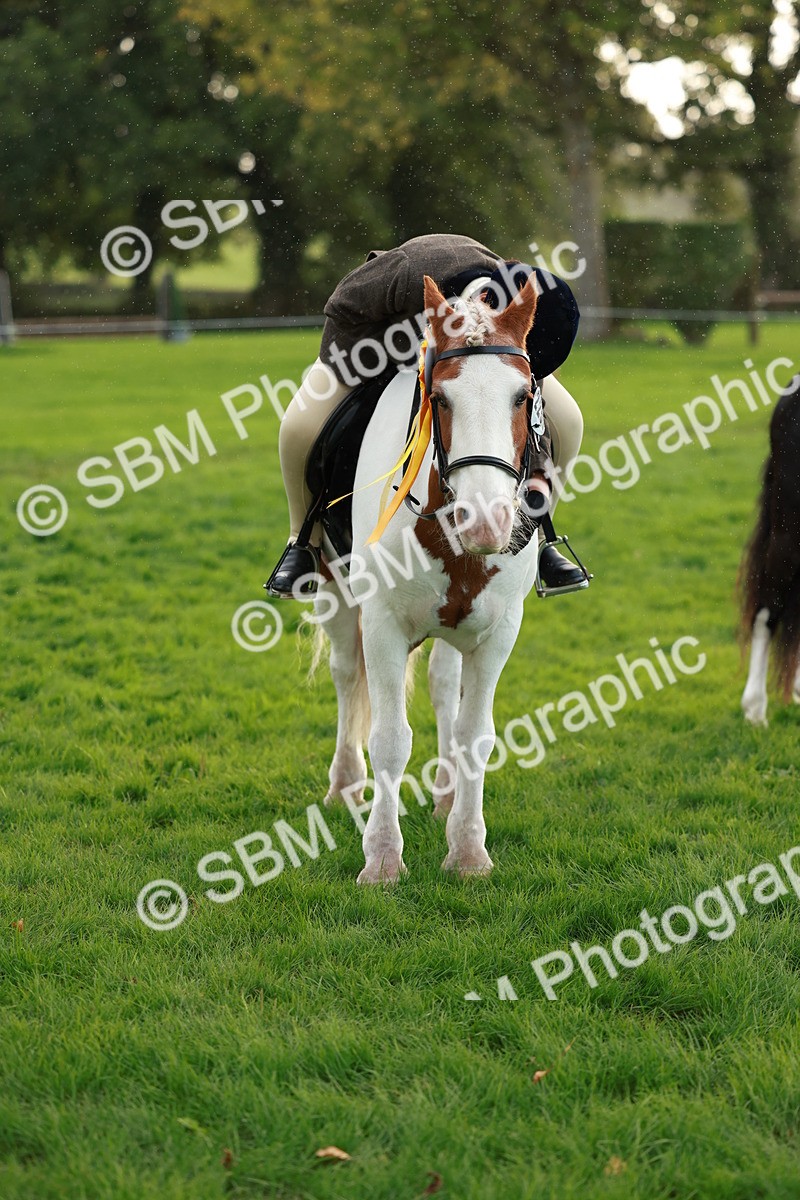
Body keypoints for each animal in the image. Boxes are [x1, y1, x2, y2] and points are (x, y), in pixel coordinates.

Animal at [314, 273, 550, 883]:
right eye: (441, 400)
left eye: (522, 396)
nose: (486, 521)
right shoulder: (383, 626)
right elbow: (390, 739)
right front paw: (382, 859)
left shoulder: (498, 633)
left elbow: (475, 734)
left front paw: (467, 849)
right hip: (334, 594)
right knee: (346, 675)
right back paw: (345, 784)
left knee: (445, 685)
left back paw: (445, 791)